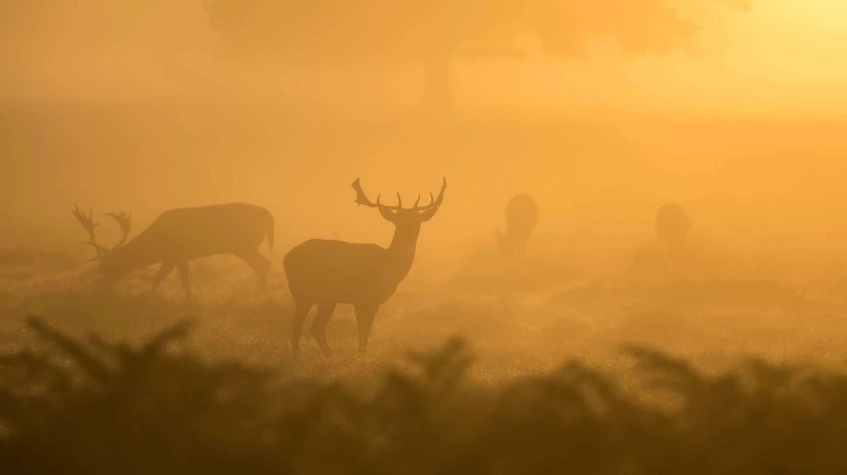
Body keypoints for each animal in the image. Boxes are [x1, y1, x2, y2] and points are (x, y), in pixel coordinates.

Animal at [72, 202, 275, 302]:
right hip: (247, 246)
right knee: (263, 263)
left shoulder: (177, 254)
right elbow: (164, 277)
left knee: (263, 263)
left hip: (245, 245)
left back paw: (259, 295)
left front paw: (186, 300)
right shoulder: (172, 257)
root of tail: (270, 215)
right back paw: (261, 294)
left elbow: (173, 278)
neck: (156, 245)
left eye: (107, 268)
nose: (101, 290)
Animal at [283, 177, 447, 357]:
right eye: (398, 220)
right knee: (310, 326)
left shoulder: (365, 300)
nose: (410, 240)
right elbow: (364, 332)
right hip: (314, 293)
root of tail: (286, 258)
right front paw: (362, 355)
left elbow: (364, 332)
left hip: (316, 296)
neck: (389, 267)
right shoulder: (366, 298)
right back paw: (323, 355)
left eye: (417, 221)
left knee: (304, 326)